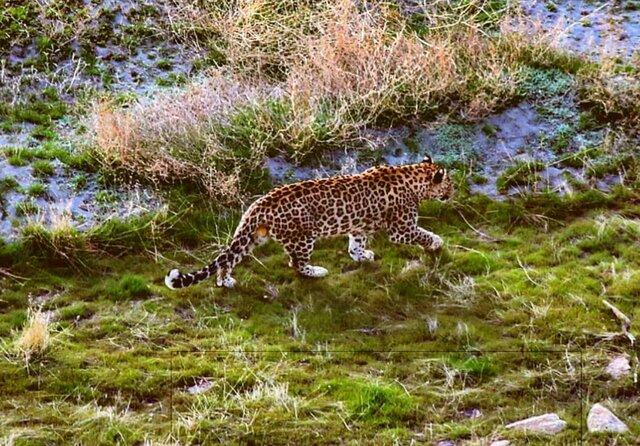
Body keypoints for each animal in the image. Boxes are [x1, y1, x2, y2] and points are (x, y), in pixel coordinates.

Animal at [166, 157, 456, 290]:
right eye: (450, 183)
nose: (453, 192)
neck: (414, 177)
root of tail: (259, 204)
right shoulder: (401, 229)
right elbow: (422, 234)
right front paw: (437, 243)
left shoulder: (359, 226)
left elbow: (356, 243)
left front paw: (361, 256)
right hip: (303, 237)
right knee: (295, 263)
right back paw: (316, 271)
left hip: (252, 237)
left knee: (228, 259)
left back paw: (225, 281)